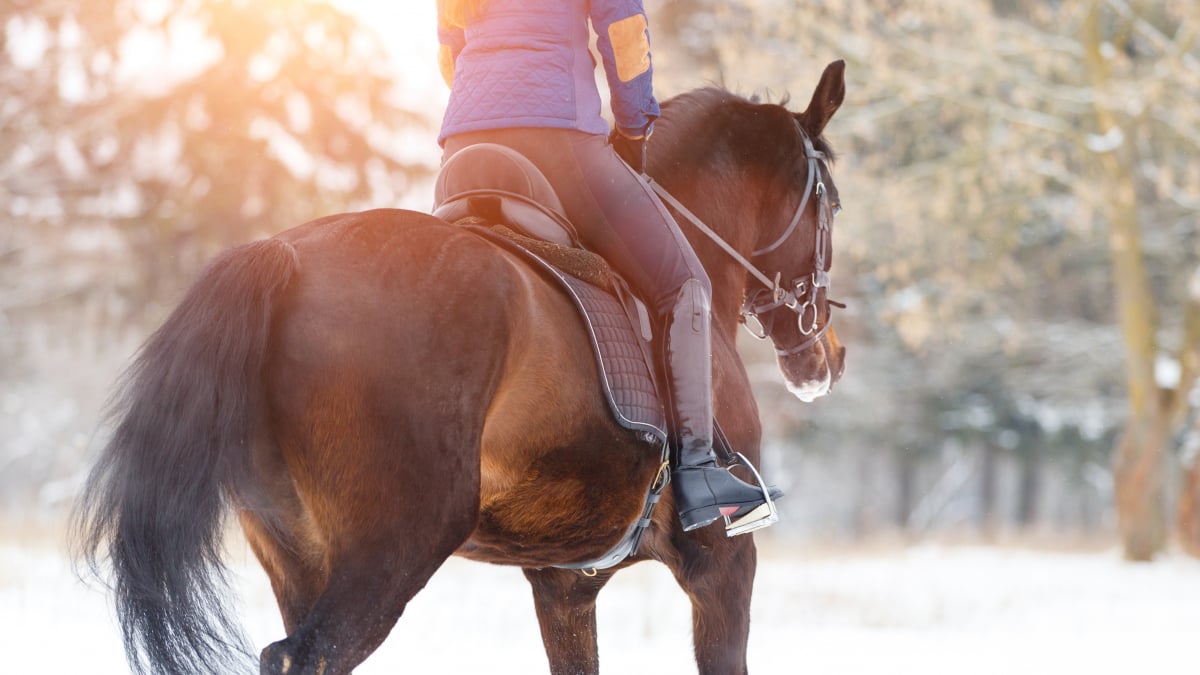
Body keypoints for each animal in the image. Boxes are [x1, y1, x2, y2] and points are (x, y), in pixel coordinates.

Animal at [75, 60, 849, 667]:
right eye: (832, 206)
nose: (828, 358)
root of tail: (285, 256)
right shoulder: (723, 562)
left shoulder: (563, 584)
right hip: (393, 546)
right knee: (310, 653)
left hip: (299, 553)